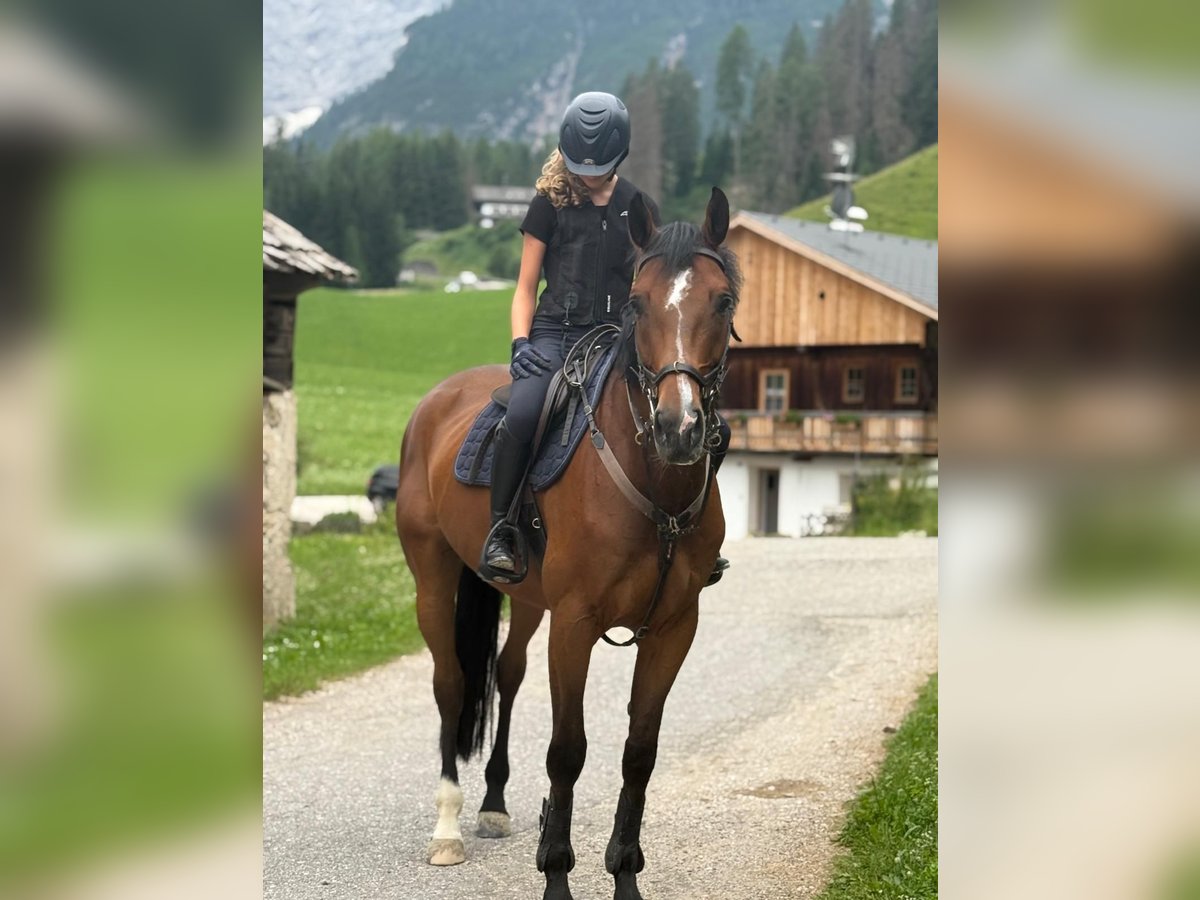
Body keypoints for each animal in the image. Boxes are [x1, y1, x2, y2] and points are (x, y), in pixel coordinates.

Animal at [395, 187, 741, 900]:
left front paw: (626, 874)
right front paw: (556, 872)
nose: (679, 427)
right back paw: (446, 829)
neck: (653, 485)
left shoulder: (675, 627)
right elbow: (567, 750)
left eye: (722, 301)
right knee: (451, 683)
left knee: (505, 673)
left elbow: (640, 751)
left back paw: (494, 804)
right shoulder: (576, 622)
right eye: (637, 302)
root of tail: (435, 403)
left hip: (528, 599)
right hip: (433, 580)